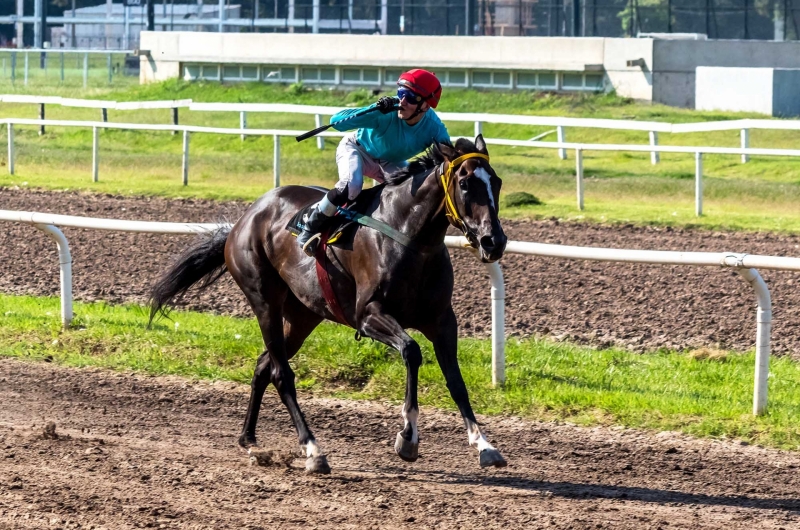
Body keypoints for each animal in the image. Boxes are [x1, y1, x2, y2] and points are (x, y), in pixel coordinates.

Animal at [149, 134, 510, 472]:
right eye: (464, 183)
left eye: (497, 182)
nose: (494, 241)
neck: (409, 237)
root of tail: (245, 217)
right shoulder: (369, 315)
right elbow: (411, 351)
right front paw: (407, 437)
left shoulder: (442, 320)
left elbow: (457, 382)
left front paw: (484, 445)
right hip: (264, 300)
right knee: (281, 373)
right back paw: (313, 449)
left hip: (302, 315)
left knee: (264, 365)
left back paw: (249, 438)